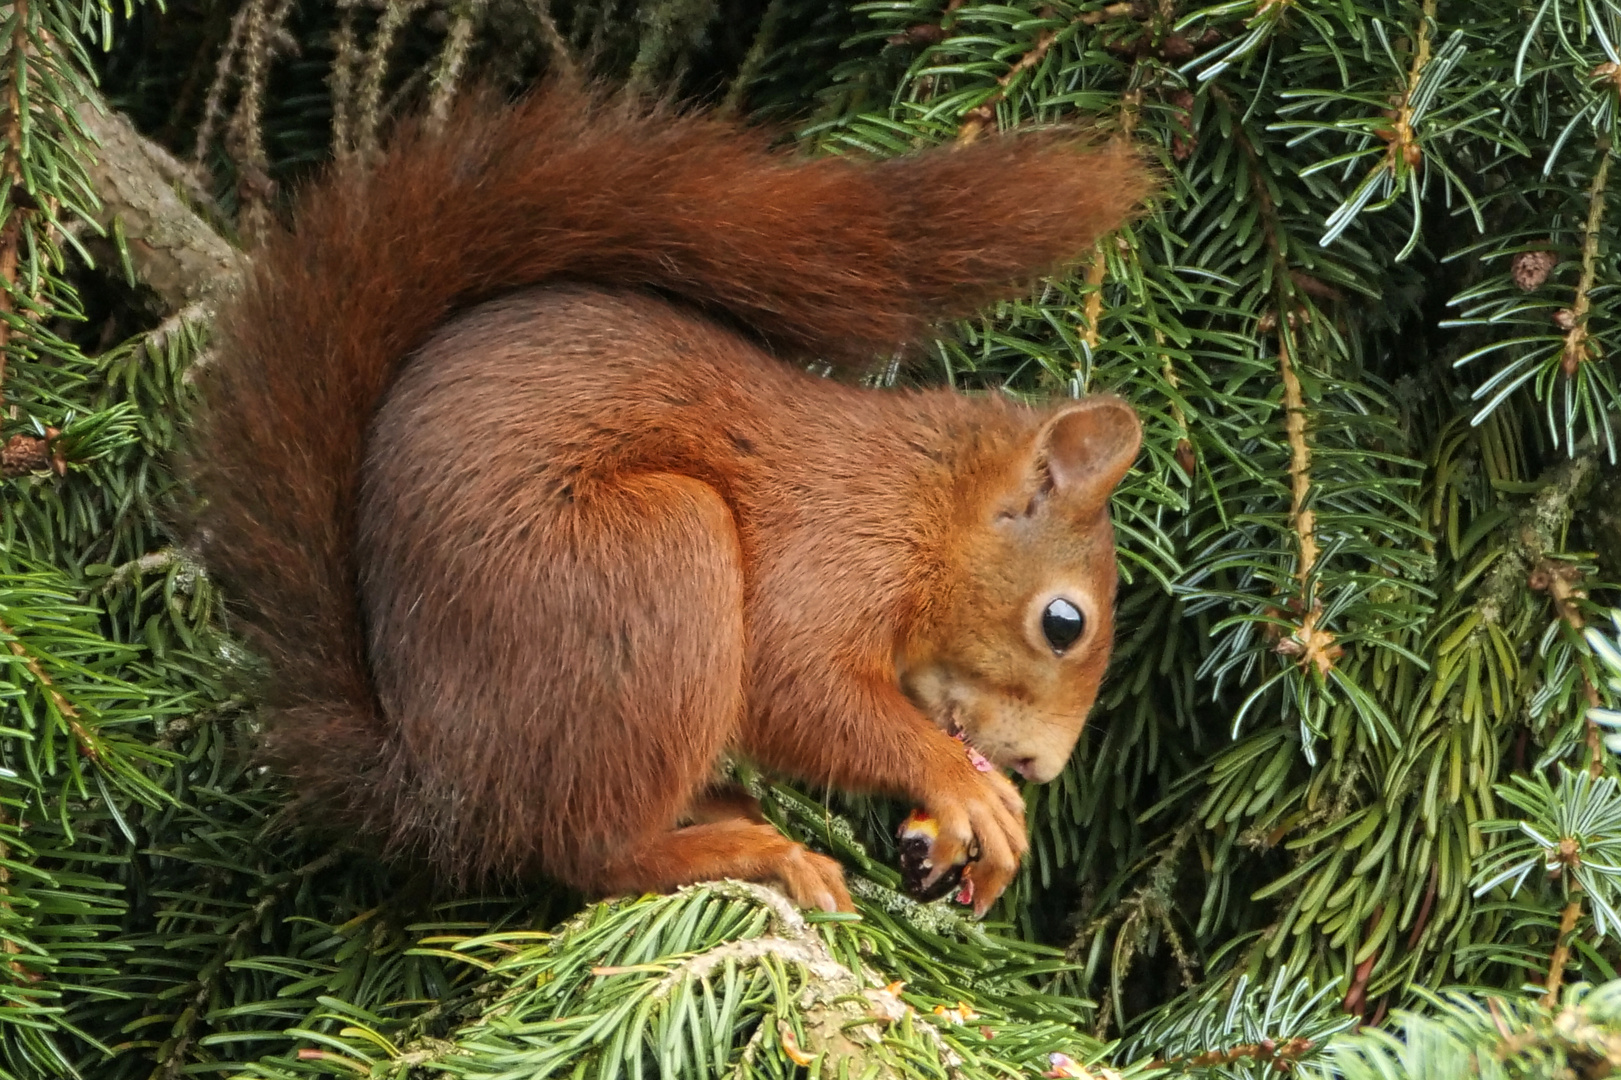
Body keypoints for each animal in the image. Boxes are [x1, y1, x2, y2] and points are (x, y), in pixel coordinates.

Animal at [189, 79, 1147, 914]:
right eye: (1065, 624)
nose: (1039, 771)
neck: (922, 501)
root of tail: (437, 786)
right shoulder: (834, 549)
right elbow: (795, 687)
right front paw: (963, 787)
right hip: (656, 558)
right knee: (593, 855)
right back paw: (745, 851)